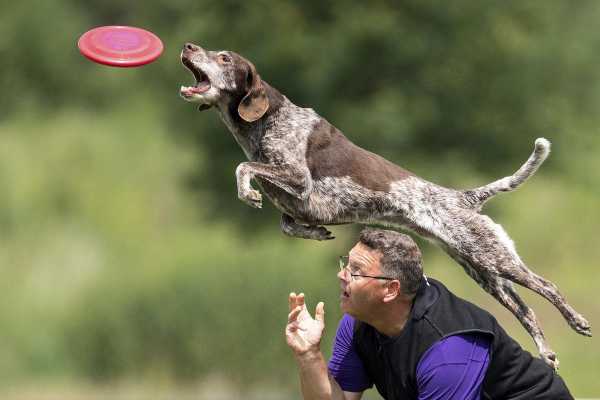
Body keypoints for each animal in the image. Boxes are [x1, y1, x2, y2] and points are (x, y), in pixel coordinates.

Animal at [178, 42, 592, 368]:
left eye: (224, 57)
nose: (187, 46)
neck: (265, 122)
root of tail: (464, 197)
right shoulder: (292, 202)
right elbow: (286, 221)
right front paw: (314, 232)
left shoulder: (297, 178)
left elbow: (243, 167)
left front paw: (248, 193)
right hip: (483, 270)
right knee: (525, 309)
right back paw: (547, 352)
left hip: (495, 259)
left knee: (548, 287)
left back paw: (577, 321)